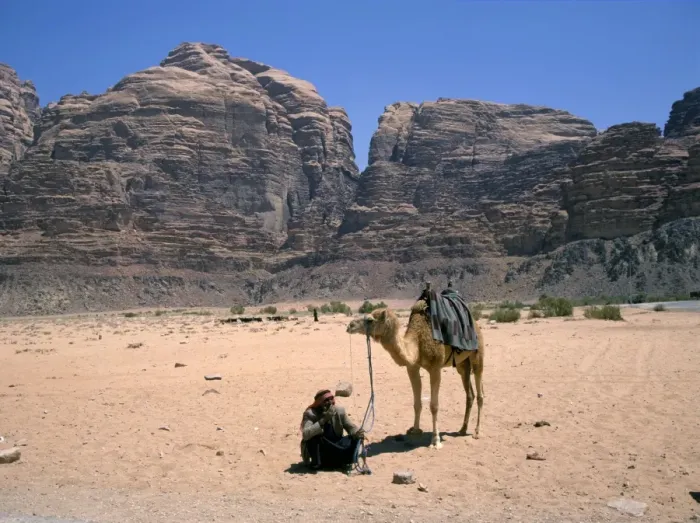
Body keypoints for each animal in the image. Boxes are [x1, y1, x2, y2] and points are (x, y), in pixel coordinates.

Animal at [346, 299, 484, 449]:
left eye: (370, 320)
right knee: (469, 394)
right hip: (462, 364)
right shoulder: (412, 368)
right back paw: (462, 429)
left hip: (478, 354)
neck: (417, 344)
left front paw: (435, 440)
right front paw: (415, 430)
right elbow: (417, 404)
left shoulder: (435, 368)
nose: (350, 325)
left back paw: (477, 432)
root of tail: (476, 324)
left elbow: (434, 406)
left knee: (480, 392)